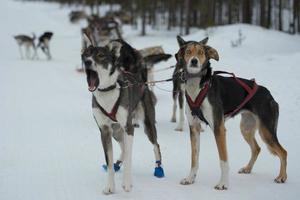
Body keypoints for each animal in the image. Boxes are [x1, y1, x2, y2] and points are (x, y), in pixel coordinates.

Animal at [175, 36, 288, 191]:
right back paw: (248, 168)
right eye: (188, 52)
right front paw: (190, 179)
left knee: (283, 152)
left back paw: (282, 177)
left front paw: (223, 183)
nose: (194, 61)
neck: (198, 87)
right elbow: (194, 159)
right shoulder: (194, 128)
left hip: (266, 132)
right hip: (246, 129)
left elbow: (223, 160)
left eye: (201, 52)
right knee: (257, 148)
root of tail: (268, 94)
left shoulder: (219, 129)